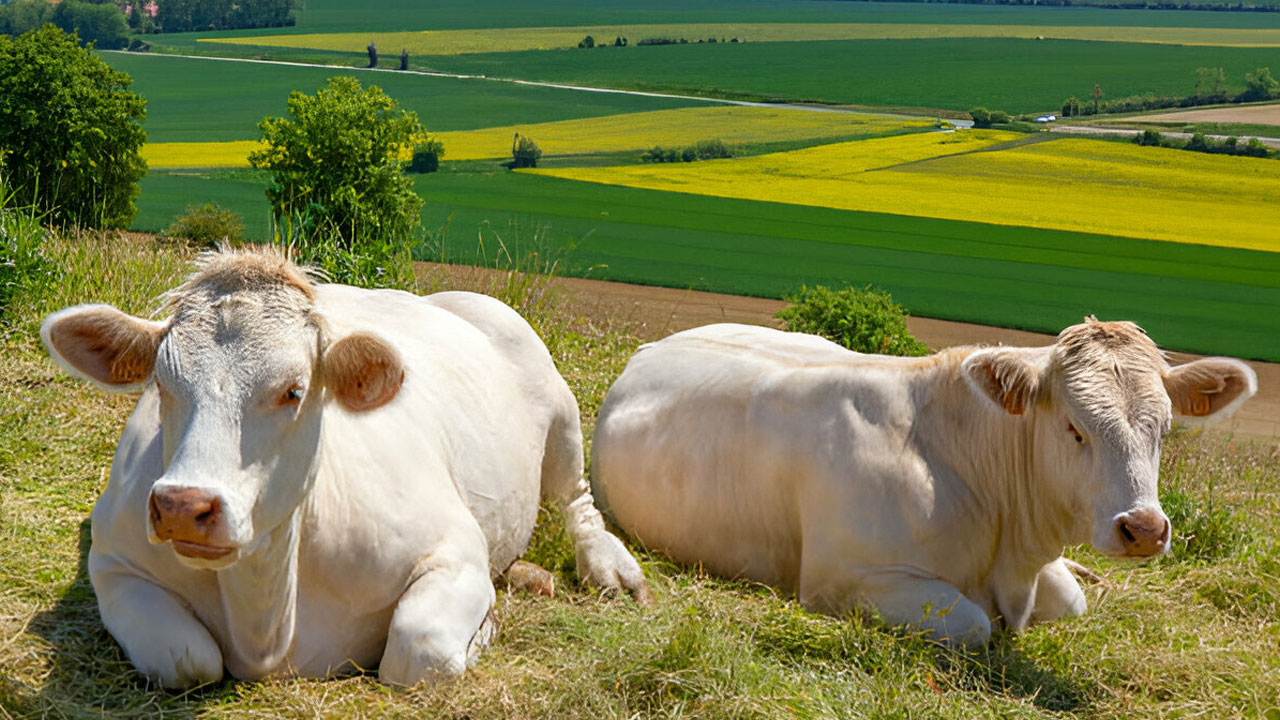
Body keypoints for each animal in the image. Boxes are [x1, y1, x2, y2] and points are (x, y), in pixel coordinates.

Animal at [41, 249, 650, 686]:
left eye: (293, 390)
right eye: (162, 385)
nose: (182, 506)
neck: (265, 619)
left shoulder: (454, 547)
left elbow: (418, 651)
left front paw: (486, 628)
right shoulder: (113, 560)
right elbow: (186, 659)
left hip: (559, 405)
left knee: (575, 498)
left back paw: (608, 566)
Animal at [593, 319, 1254, 645]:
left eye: (1164, 426)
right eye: (1075, 427)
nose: (1144, 528)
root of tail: (651, 347)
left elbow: (1071, 600)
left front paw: (1076, 575)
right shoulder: (847, 578)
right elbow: (974, 624)